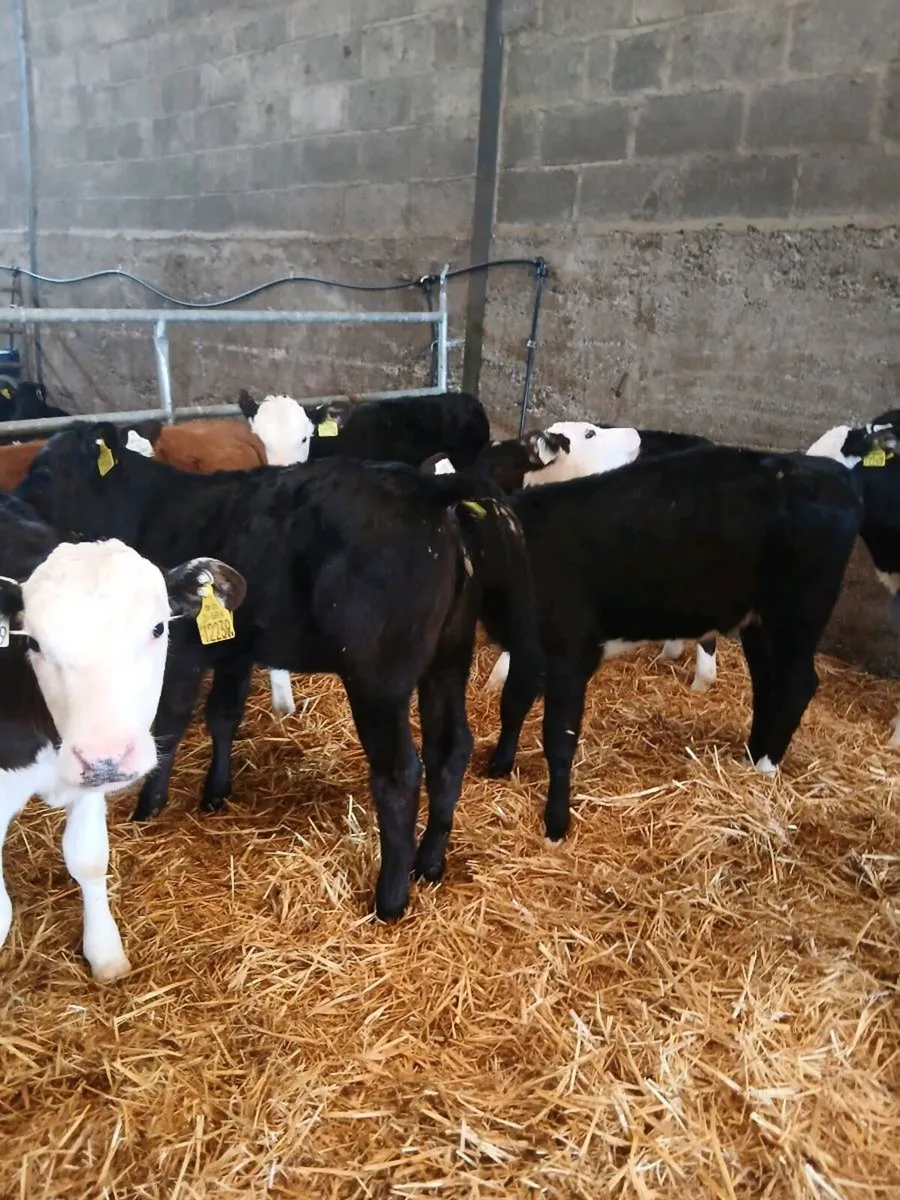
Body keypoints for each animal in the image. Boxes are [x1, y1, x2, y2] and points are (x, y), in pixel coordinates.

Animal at [17, 421, 543, 922]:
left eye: (42, 472)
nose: (15, 510)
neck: (154, 508)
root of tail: (424, 488)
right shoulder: (233, 644)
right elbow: (222, 715)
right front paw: (215, 792)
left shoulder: (180, 644)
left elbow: (170, 720)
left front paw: (149, 805)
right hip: (448, 659)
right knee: (450, 750)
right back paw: (430, 862)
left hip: (379, 679)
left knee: (399, 773)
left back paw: (391, 899)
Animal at [475, 444, 862, 841]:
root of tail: (829, 471)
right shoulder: (527, 651)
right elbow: (512, 704)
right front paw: (498, 766)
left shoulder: (570, 655)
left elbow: (558, 738)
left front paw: (555, 823)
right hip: (758, 621)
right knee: (768, 684)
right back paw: (753, 756)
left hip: (798, 611)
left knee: (797, 684)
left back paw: (767, 766)